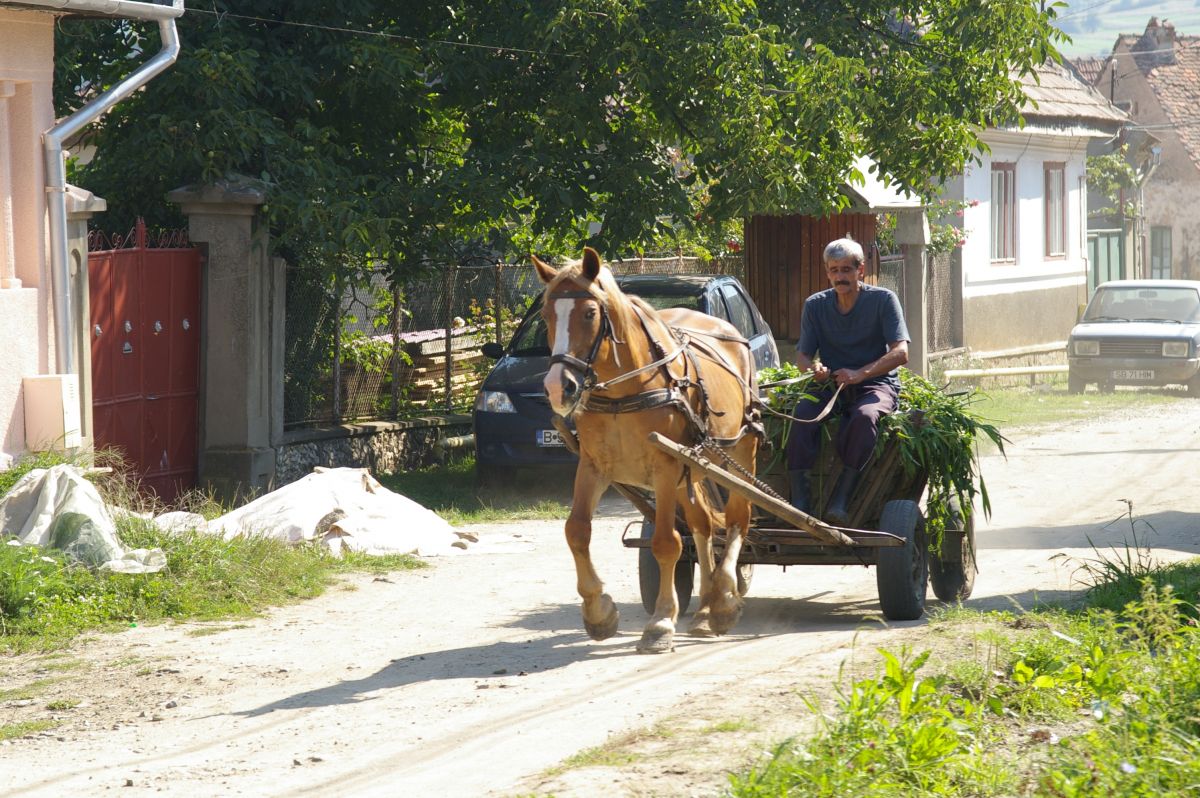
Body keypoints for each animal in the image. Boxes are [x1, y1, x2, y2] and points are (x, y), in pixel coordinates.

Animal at [532, 249, 758, 652]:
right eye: (546, 315)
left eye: (589, 313)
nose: (559, 388)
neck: (624, 391)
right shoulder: (593, 466)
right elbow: (577, 531)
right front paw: (598, 611)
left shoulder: (665, 466)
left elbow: (666, 543)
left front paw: (661, 622)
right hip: (691, 470)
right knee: (702, 525)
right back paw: (704, 607)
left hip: (737, 454)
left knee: (737, 518)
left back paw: (723, 598)